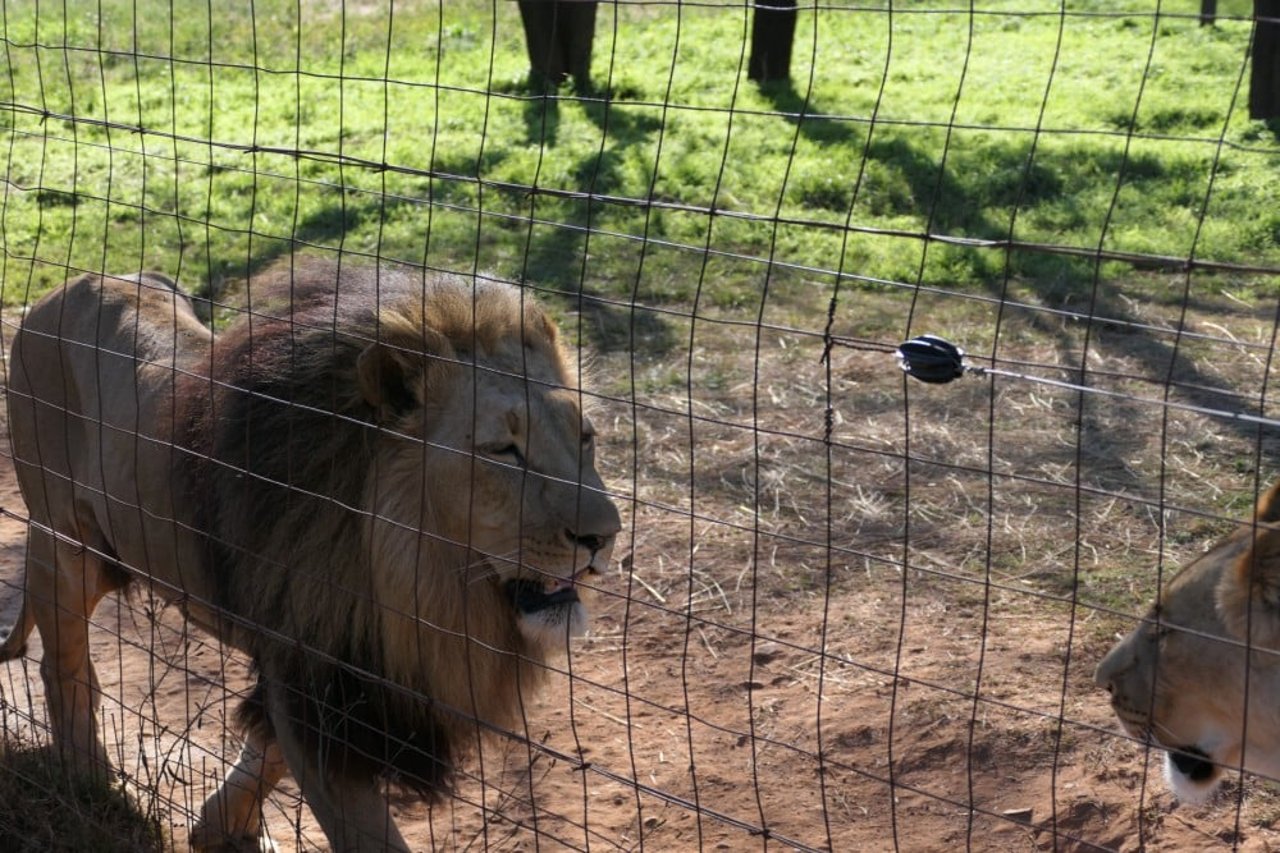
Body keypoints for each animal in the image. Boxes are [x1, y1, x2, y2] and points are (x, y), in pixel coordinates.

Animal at [0, 256, 619, 845]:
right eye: (502, 451)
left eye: (585, 439)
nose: (606, 535)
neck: (417, 584)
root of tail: (62, 290)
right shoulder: (317, 677)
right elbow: (363, 830)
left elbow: (266, 752)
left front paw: (221, 827)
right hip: (67, 546)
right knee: (64, 667)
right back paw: (89, 784)